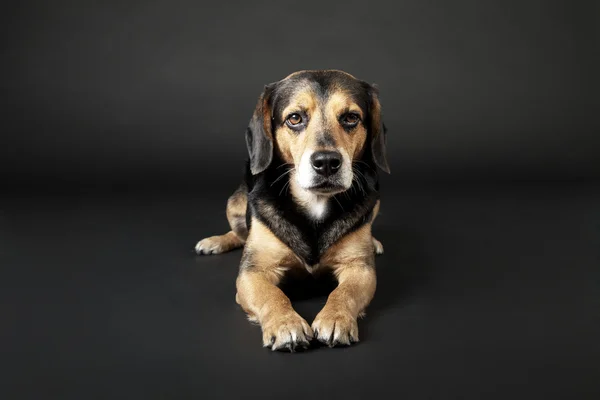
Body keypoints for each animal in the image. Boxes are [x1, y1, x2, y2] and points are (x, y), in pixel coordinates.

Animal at [197, 70, 392, 352]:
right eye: (295, 118)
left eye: (350, 118)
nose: (326, 162)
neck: (315, 202)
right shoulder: (253, 272)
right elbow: (272, 295)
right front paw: (285, 323)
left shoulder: (360, 269)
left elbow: (343, 292)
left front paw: (336, 317)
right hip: (234, 203)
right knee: (239, 233)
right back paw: (215, 242)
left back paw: (374, 241)